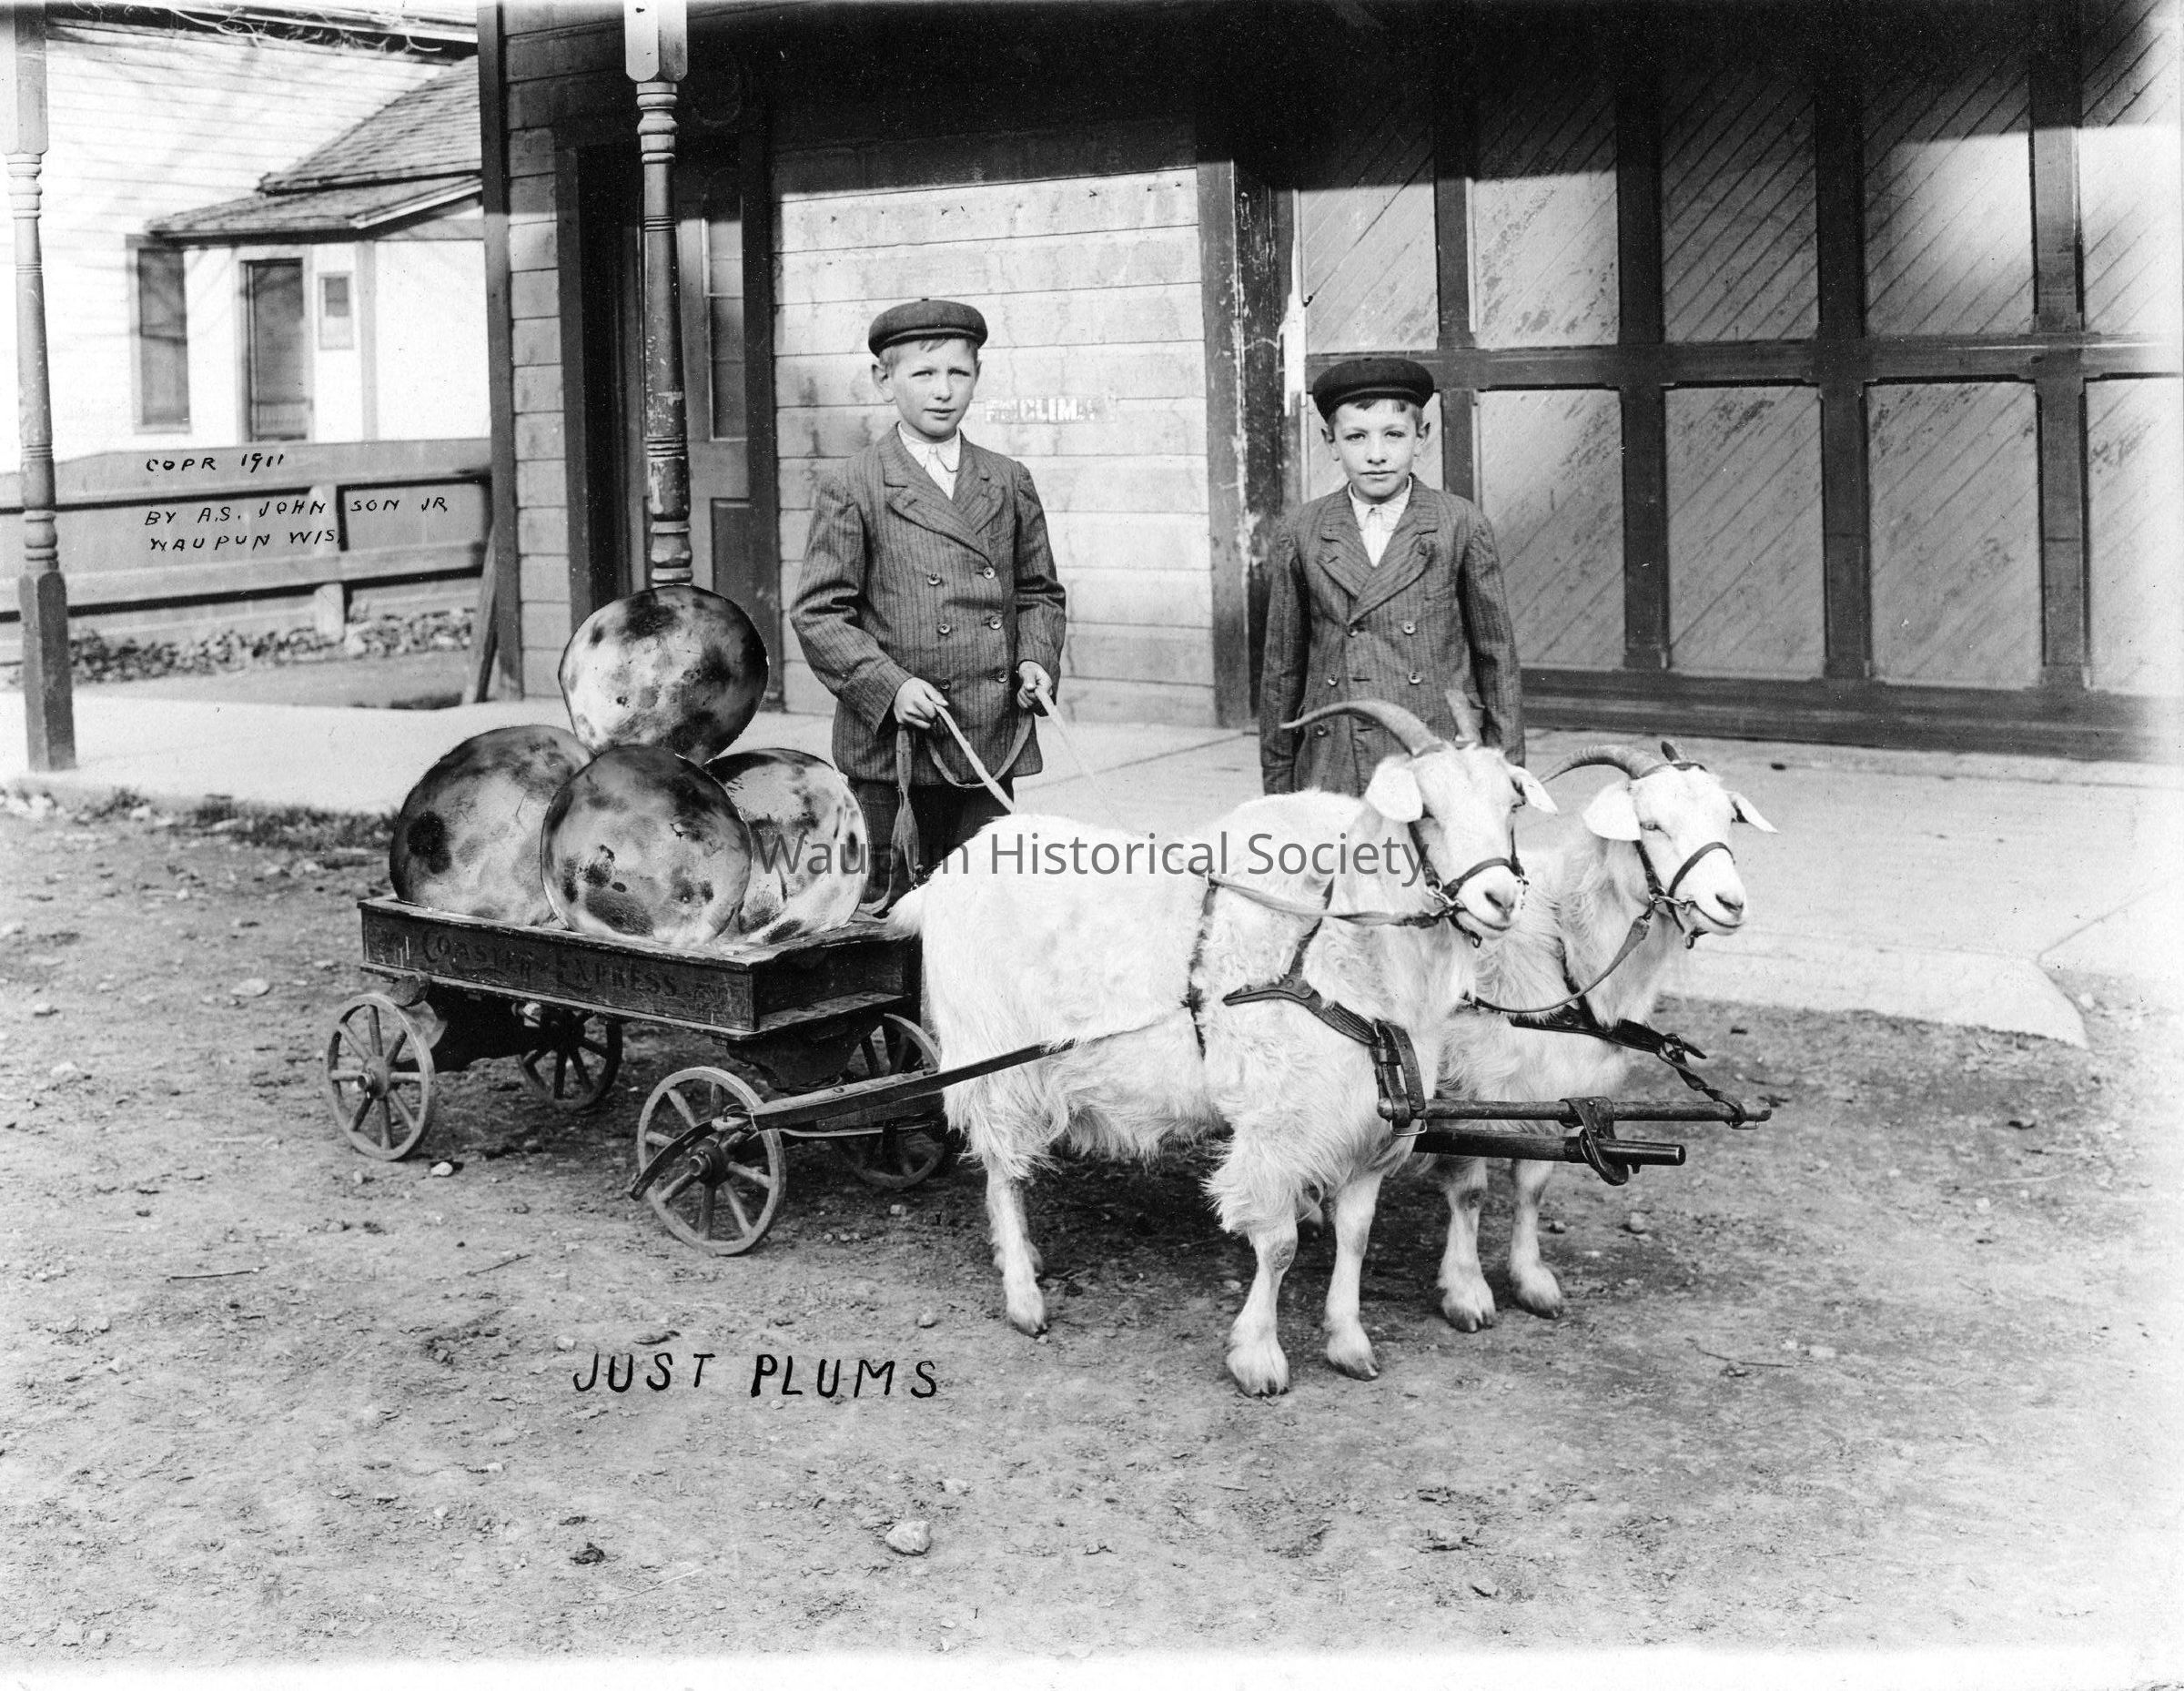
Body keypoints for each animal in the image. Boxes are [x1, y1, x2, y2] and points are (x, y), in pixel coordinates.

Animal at [889, 698, 1555, 1395]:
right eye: (1425, 810)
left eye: (1510, 806)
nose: (1502, 899)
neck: (1326, 946)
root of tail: (941, 877)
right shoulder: (1275, 1125)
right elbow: (1280, 1245)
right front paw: (1258, 1357)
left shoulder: (1368, 1126)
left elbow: (1356, 1235)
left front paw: (1349, 1342)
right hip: (991, 1061)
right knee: (1002, 1173)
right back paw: (1023, 1295)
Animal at [1426, 741, 1775, 1331]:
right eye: (1650, 824)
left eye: (1727, 820)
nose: (1731, 903)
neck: (1562, 944)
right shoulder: (1468, 1083)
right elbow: (1470, 1191)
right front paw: (1467, 1292)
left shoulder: (1558, 1089)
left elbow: (1533, 1185)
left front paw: (1533, 1282)